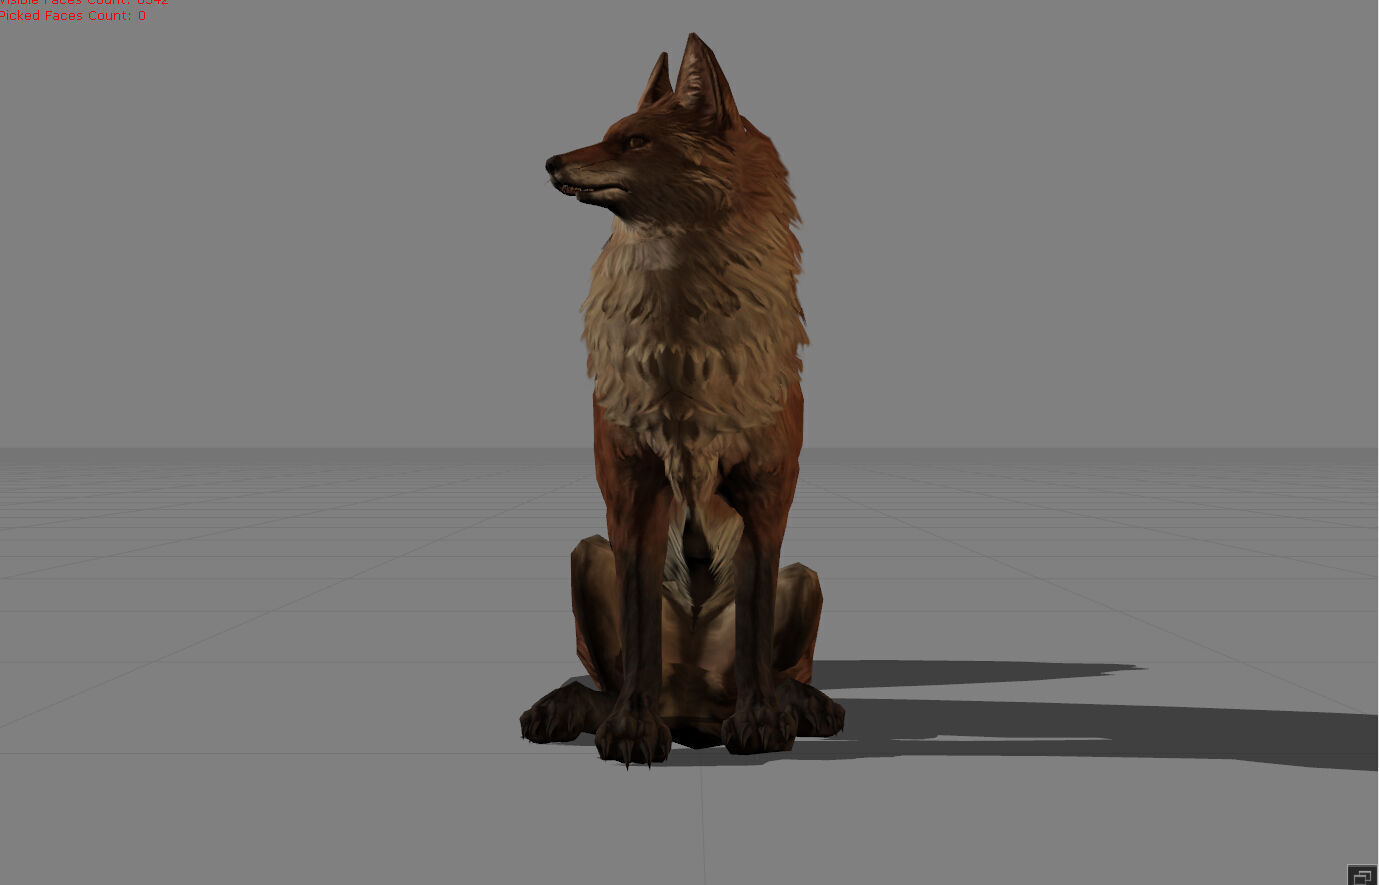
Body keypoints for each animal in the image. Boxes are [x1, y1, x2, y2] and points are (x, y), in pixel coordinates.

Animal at [519, 33, 845, 765]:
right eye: (607, 134)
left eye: (635, 141)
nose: (551, 161)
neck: (684, 357)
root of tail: (694, 710)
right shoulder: (631, 493)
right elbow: (639, 636)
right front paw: (631, 730)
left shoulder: (765, 499)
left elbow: (754, 640)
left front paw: (762, 723)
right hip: (587, 555)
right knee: (605, 682)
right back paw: (571, 709)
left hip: (804, 577)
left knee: (777, 670)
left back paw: (800, 706)